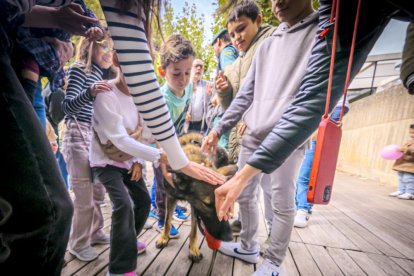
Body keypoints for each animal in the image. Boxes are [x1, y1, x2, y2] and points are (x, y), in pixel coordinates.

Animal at [155, 133, 238, 262]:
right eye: (207, 204)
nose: (228, 237)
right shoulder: (170, 197)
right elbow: (167, 220)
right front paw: (164, 237)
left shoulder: (194, 206)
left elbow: (193, 229)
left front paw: (193, 249)